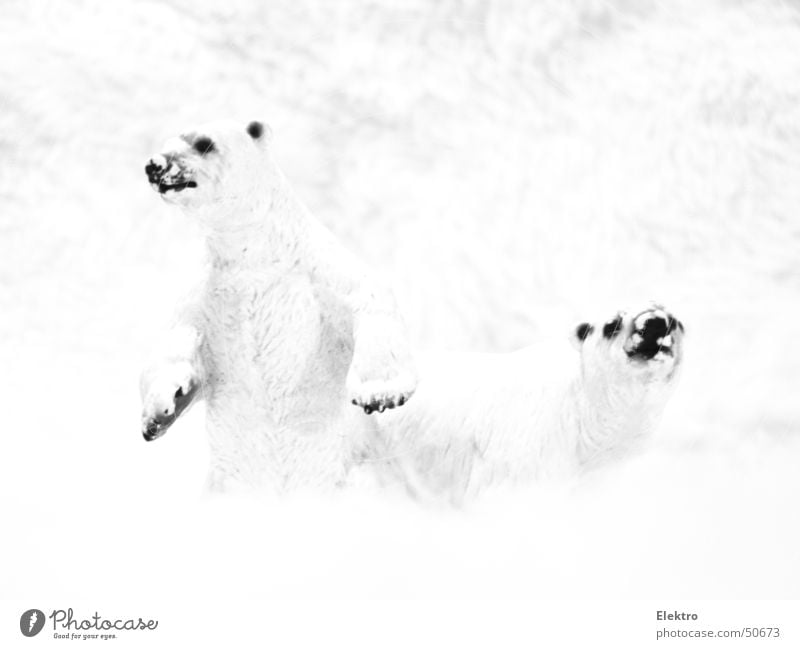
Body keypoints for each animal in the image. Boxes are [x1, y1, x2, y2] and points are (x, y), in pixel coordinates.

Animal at [142, 117, 418, 492]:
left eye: (203, 143)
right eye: (167, 141)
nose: (155, 165)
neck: (254, 253)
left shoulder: (318, 271)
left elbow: (368, 299)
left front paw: (381, 395)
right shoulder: (206, 293)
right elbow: (174, 341)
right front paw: (162, 407)